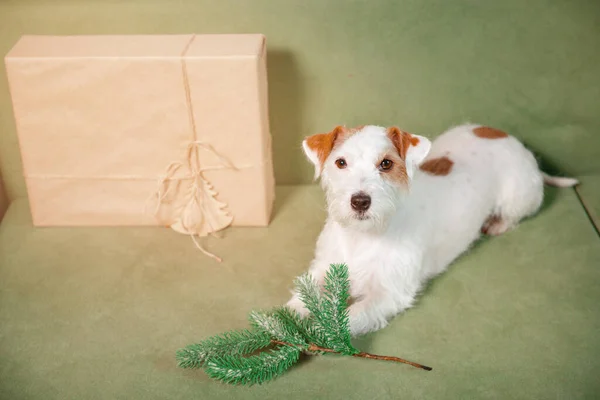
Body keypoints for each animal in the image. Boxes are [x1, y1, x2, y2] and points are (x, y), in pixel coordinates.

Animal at [288, 123, 580, 336]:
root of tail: (512, 140)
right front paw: (285, 319)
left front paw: (320, 330)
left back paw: (496, 223)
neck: (362, 236)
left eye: (386, 164)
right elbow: (303, 295)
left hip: (516, 196)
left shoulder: (388, 293)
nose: (360, 201)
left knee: (515, 214)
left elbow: (353, 315)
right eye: (340, 162)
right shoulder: (324, 268)